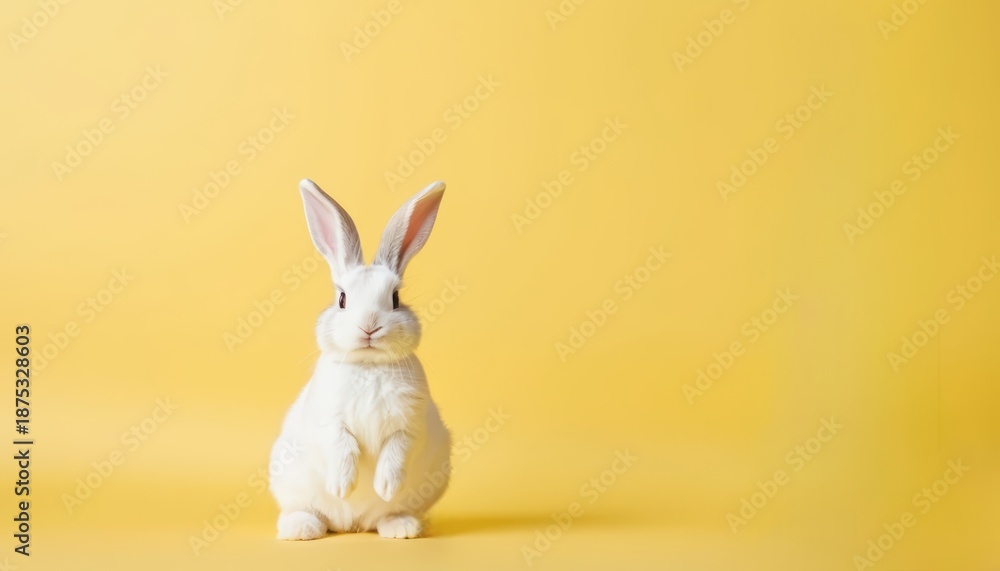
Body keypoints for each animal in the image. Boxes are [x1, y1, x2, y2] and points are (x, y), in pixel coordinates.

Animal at [269, 179, 452, 540]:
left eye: (395, 299)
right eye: (342, 299)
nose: (369, 326)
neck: (369, 366)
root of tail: (350, 524)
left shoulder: (409, 424)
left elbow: (397, 449)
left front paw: (385, 486)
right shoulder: (329, 419)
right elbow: (341, 444)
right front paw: (342, 486)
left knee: (386, 516)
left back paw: (401, 526)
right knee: (306, 512)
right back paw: (303, 528)